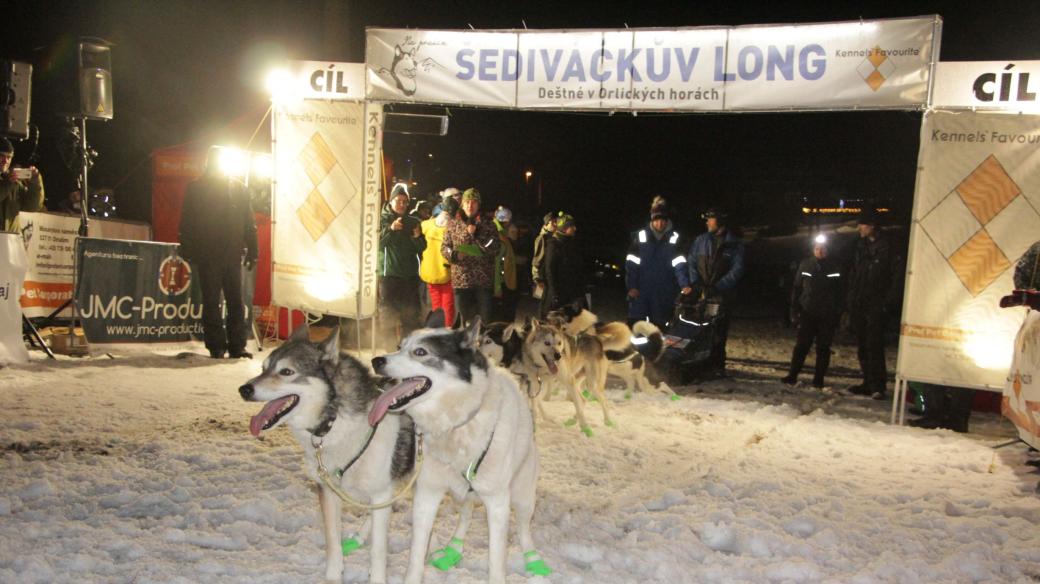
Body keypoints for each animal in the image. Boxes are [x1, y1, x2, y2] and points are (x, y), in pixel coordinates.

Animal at [237, 328, 413, 581]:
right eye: (263, 369)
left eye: (287, 372)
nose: (244, 389)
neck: (335, 420)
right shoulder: (329, 491)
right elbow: (332, 542)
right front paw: (333, 576)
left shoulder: (380, 492)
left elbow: (378, 550)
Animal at [370, 313, 549, 581]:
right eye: (399, 346)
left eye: (420, 352)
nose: (376, 360)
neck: (456, 424)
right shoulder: (427, 494)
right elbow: (416, 553)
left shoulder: (497, 502)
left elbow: (496, 559)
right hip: (464, 493)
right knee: (465, 514)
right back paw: (454, 548)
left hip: (523, 494)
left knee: (523, 527)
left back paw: (533, 558)